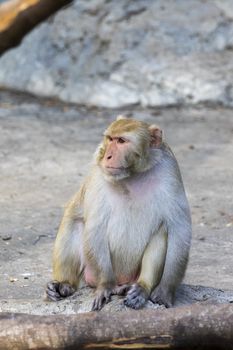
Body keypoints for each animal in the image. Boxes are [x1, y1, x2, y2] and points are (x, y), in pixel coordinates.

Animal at [46, 115, 191, 312]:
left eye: (122, 141)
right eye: (110, 139)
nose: (108, 155)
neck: (133, 175)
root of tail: (123, 280)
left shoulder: (169, 170)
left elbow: (179, 229)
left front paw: (165, 291)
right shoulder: (98, 171)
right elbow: (95, 227)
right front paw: (106, 285)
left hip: (132, 275)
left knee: (162, 230)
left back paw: (141, 288)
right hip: (90, 272)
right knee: (74, 222)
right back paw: (64, 285)